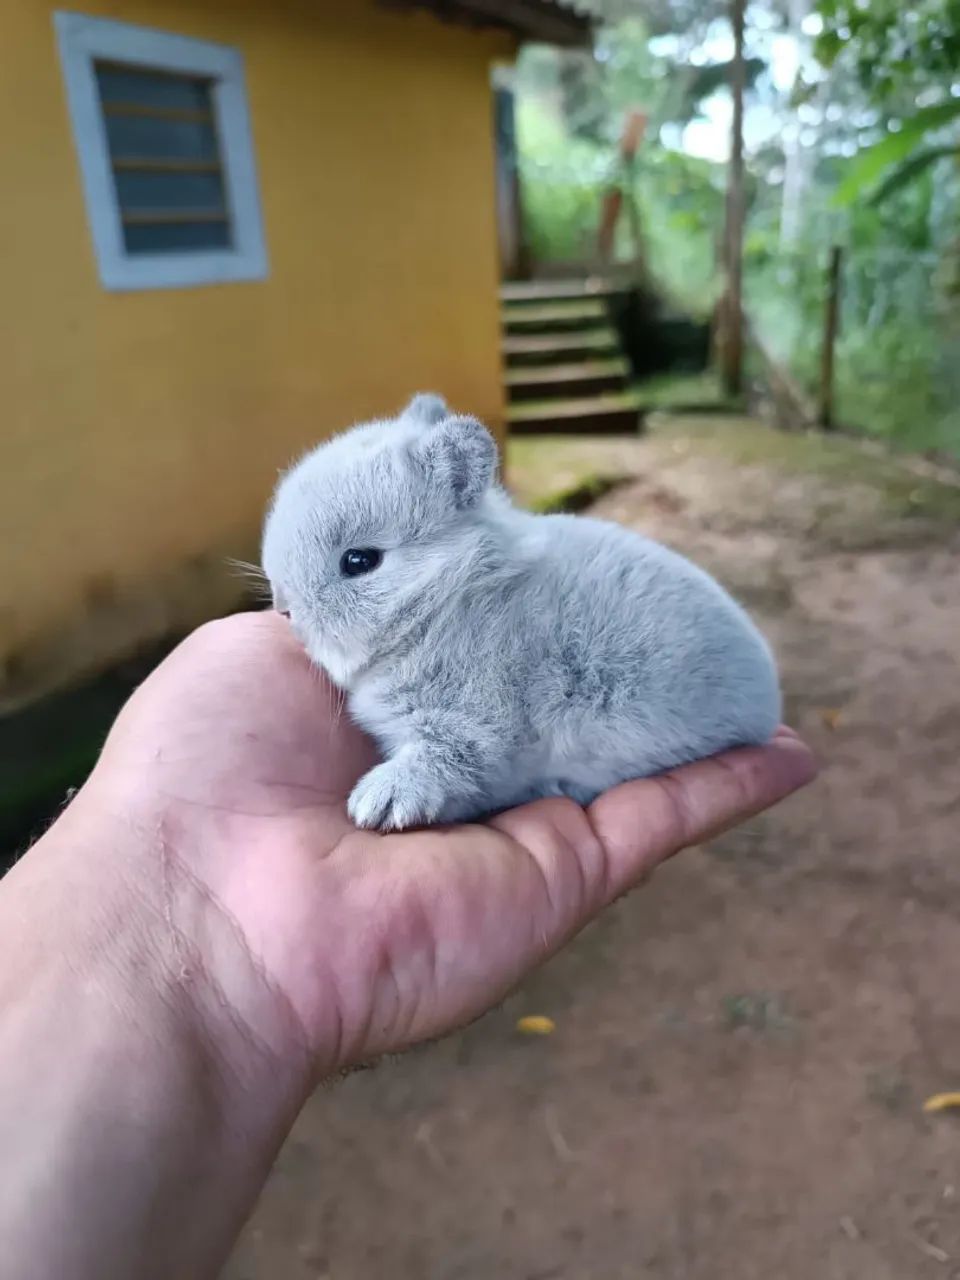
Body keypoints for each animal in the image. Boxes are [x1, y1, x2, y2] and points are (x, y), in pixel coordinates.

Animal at [261, 393, 781, 831]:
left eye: (358, 561)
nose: (284, 610)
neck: (447, 603)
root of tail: (768, 698)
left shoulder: (475, 724)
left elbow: (442, 759)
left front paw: (379, 801)